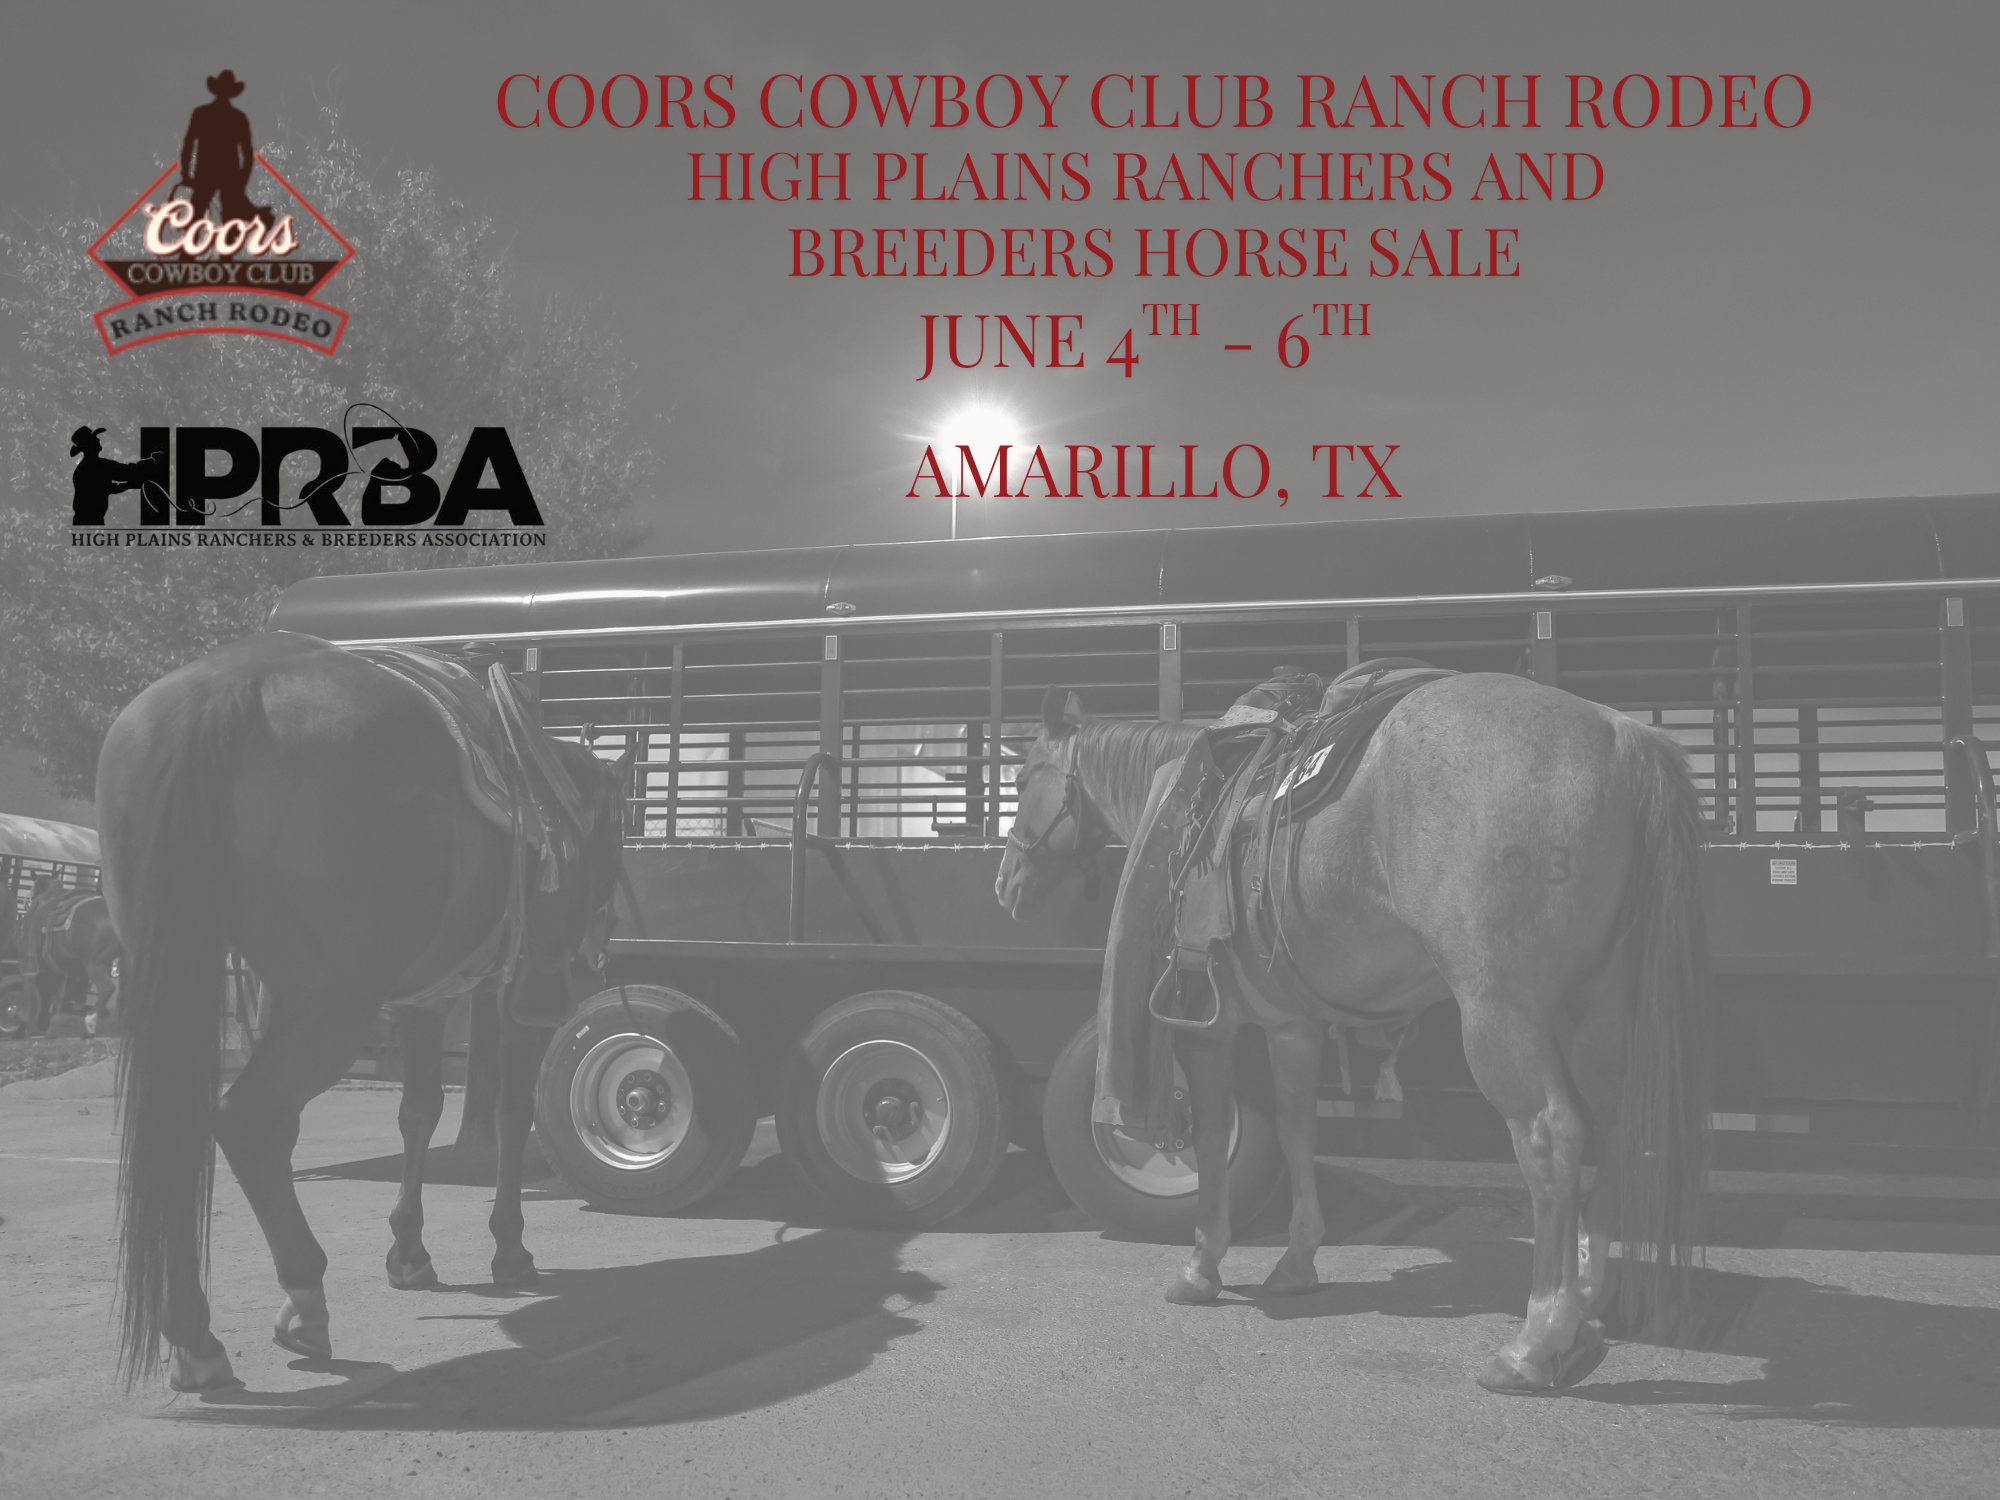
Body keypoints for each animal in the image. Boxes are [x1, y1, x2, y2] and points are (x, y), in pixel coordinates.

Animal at [97, 631, 628, 1393]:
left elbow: (420, 1112)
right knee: (252, 1122)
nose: (595, 957)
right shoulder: (510, 997)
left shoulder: (427, 999)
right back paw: (300, 1301)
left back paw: (193, 1334)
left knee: (185, 1129)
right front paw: (510, 1249)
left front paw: (409, 1251)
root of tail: (228, 689)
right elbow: (509, 1114)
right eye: (615, 843)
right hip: (331, 1005)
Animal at [995, 675, 1711, 1393]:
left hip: (1502, 1010)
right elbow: (1297, 1129)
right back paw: (1588, 1303)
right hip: (1595, 1005)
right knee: (1617, 1123)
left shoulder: (1209, 1025)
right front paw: (1296, 1260)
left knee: (1551, 1136)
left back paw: (1537, 1342)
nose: (1004, 882)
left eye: (1024, 776)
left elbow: (1211, 1134)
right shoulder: (1292, 1026)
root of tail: (1623, 735)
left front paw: (1201, 1266)